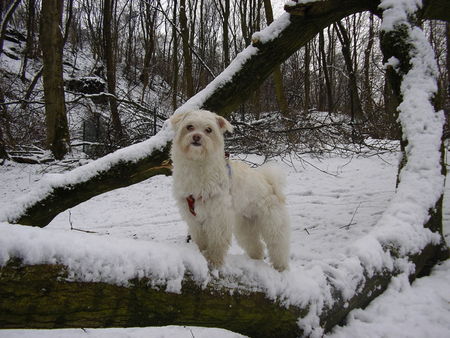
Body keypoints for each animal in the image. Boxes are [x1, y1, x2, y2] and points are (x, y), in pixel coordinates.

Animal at [171, 111, 290, 272]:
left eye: (208, 130)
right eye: (189, 127)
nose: (196, 137)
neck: (197, 164)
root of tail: (269, 183)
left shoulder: (218, 216)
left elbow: (217, 242)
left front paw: (214, 261)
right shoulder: (193, 218)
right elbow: (201, 240)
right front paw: (201, 254)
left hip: (272, 224)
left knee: (278, 246)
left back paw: (281, 267)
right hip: (245, 226)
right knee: (256, 247)